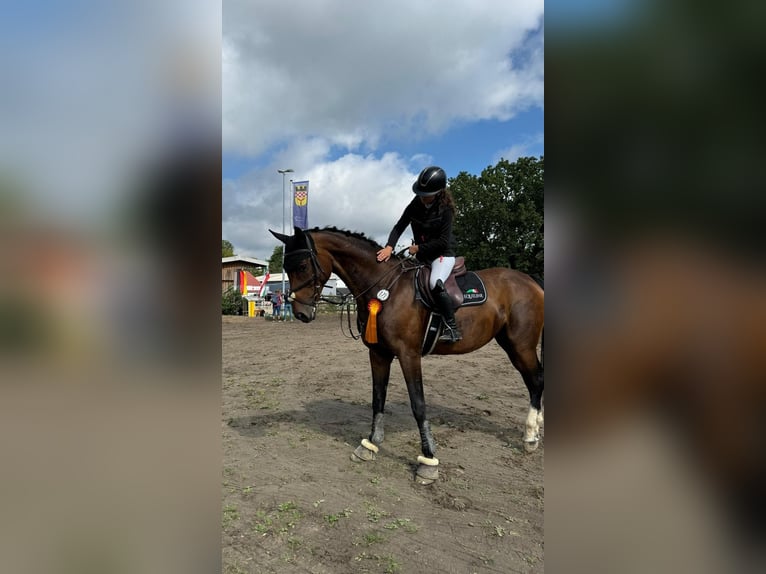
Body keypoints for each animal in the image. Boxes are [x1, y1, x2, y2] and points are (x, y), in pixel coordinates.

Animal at [270, 226, 544, 484]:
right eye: (286, 267)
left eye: (303, 265)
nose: (301, 313)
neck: (384, 287)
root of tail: (530, 281)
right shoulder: (378, 354)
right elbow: (378, 399)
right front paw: (370, 444)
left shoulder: (408, 354)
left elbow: (418, 404)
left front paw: (428, 461)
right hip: (510, 343)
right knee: (535, 381)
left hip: (521, 346)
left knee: (536, 380)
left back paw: (531, 436)